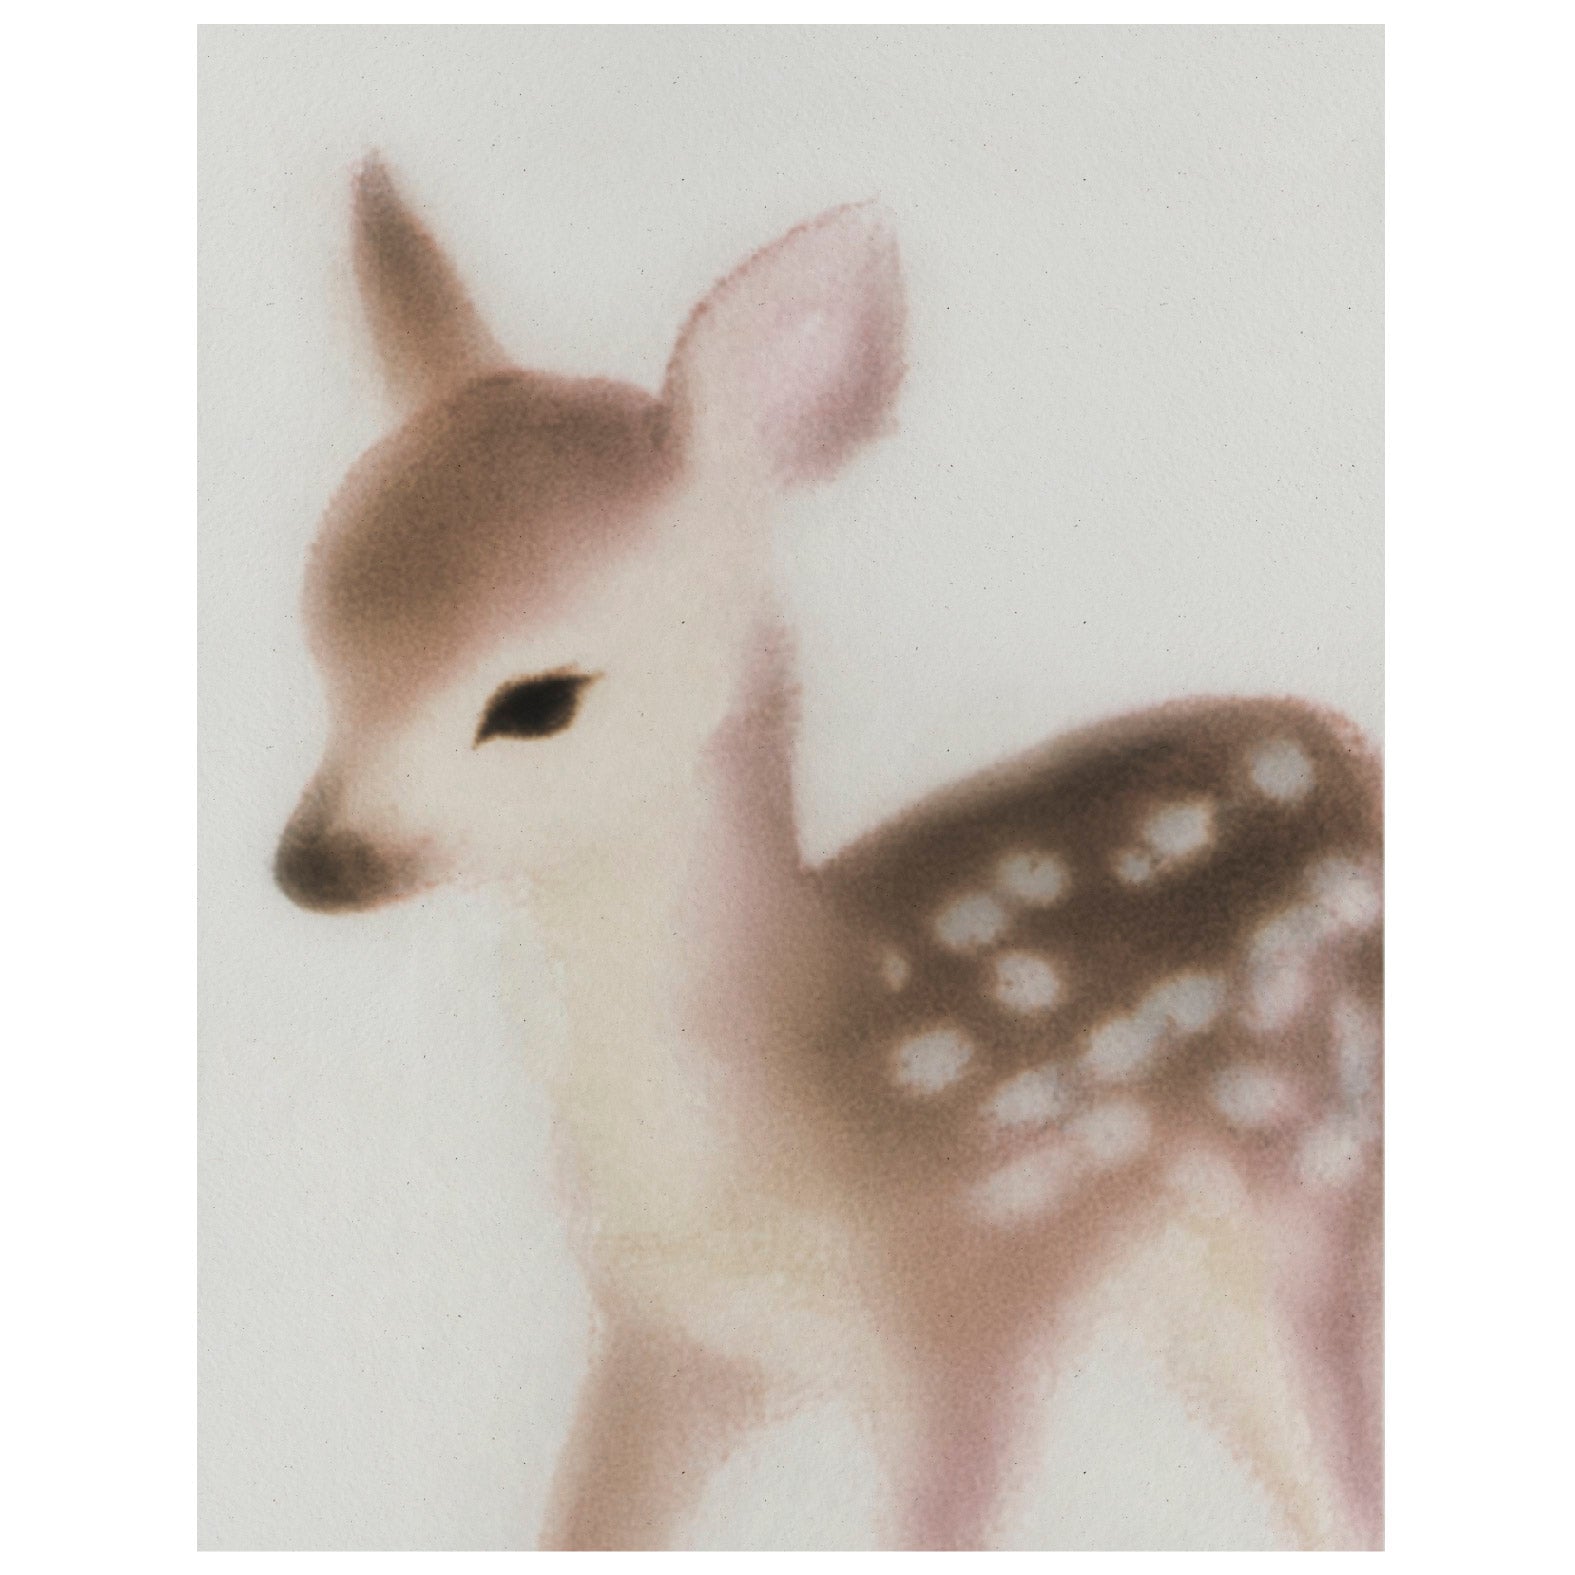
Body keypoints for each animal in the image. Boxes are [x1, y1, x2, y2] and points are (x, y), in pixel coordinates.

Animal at [272, 157, 1382, 1551]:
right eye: (318, 629)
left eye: (537, 699)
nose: (318, 862)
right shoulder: (669, 1334)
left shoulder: (977, 1307)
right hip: (1190, 1298)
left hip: (1320, 1203)